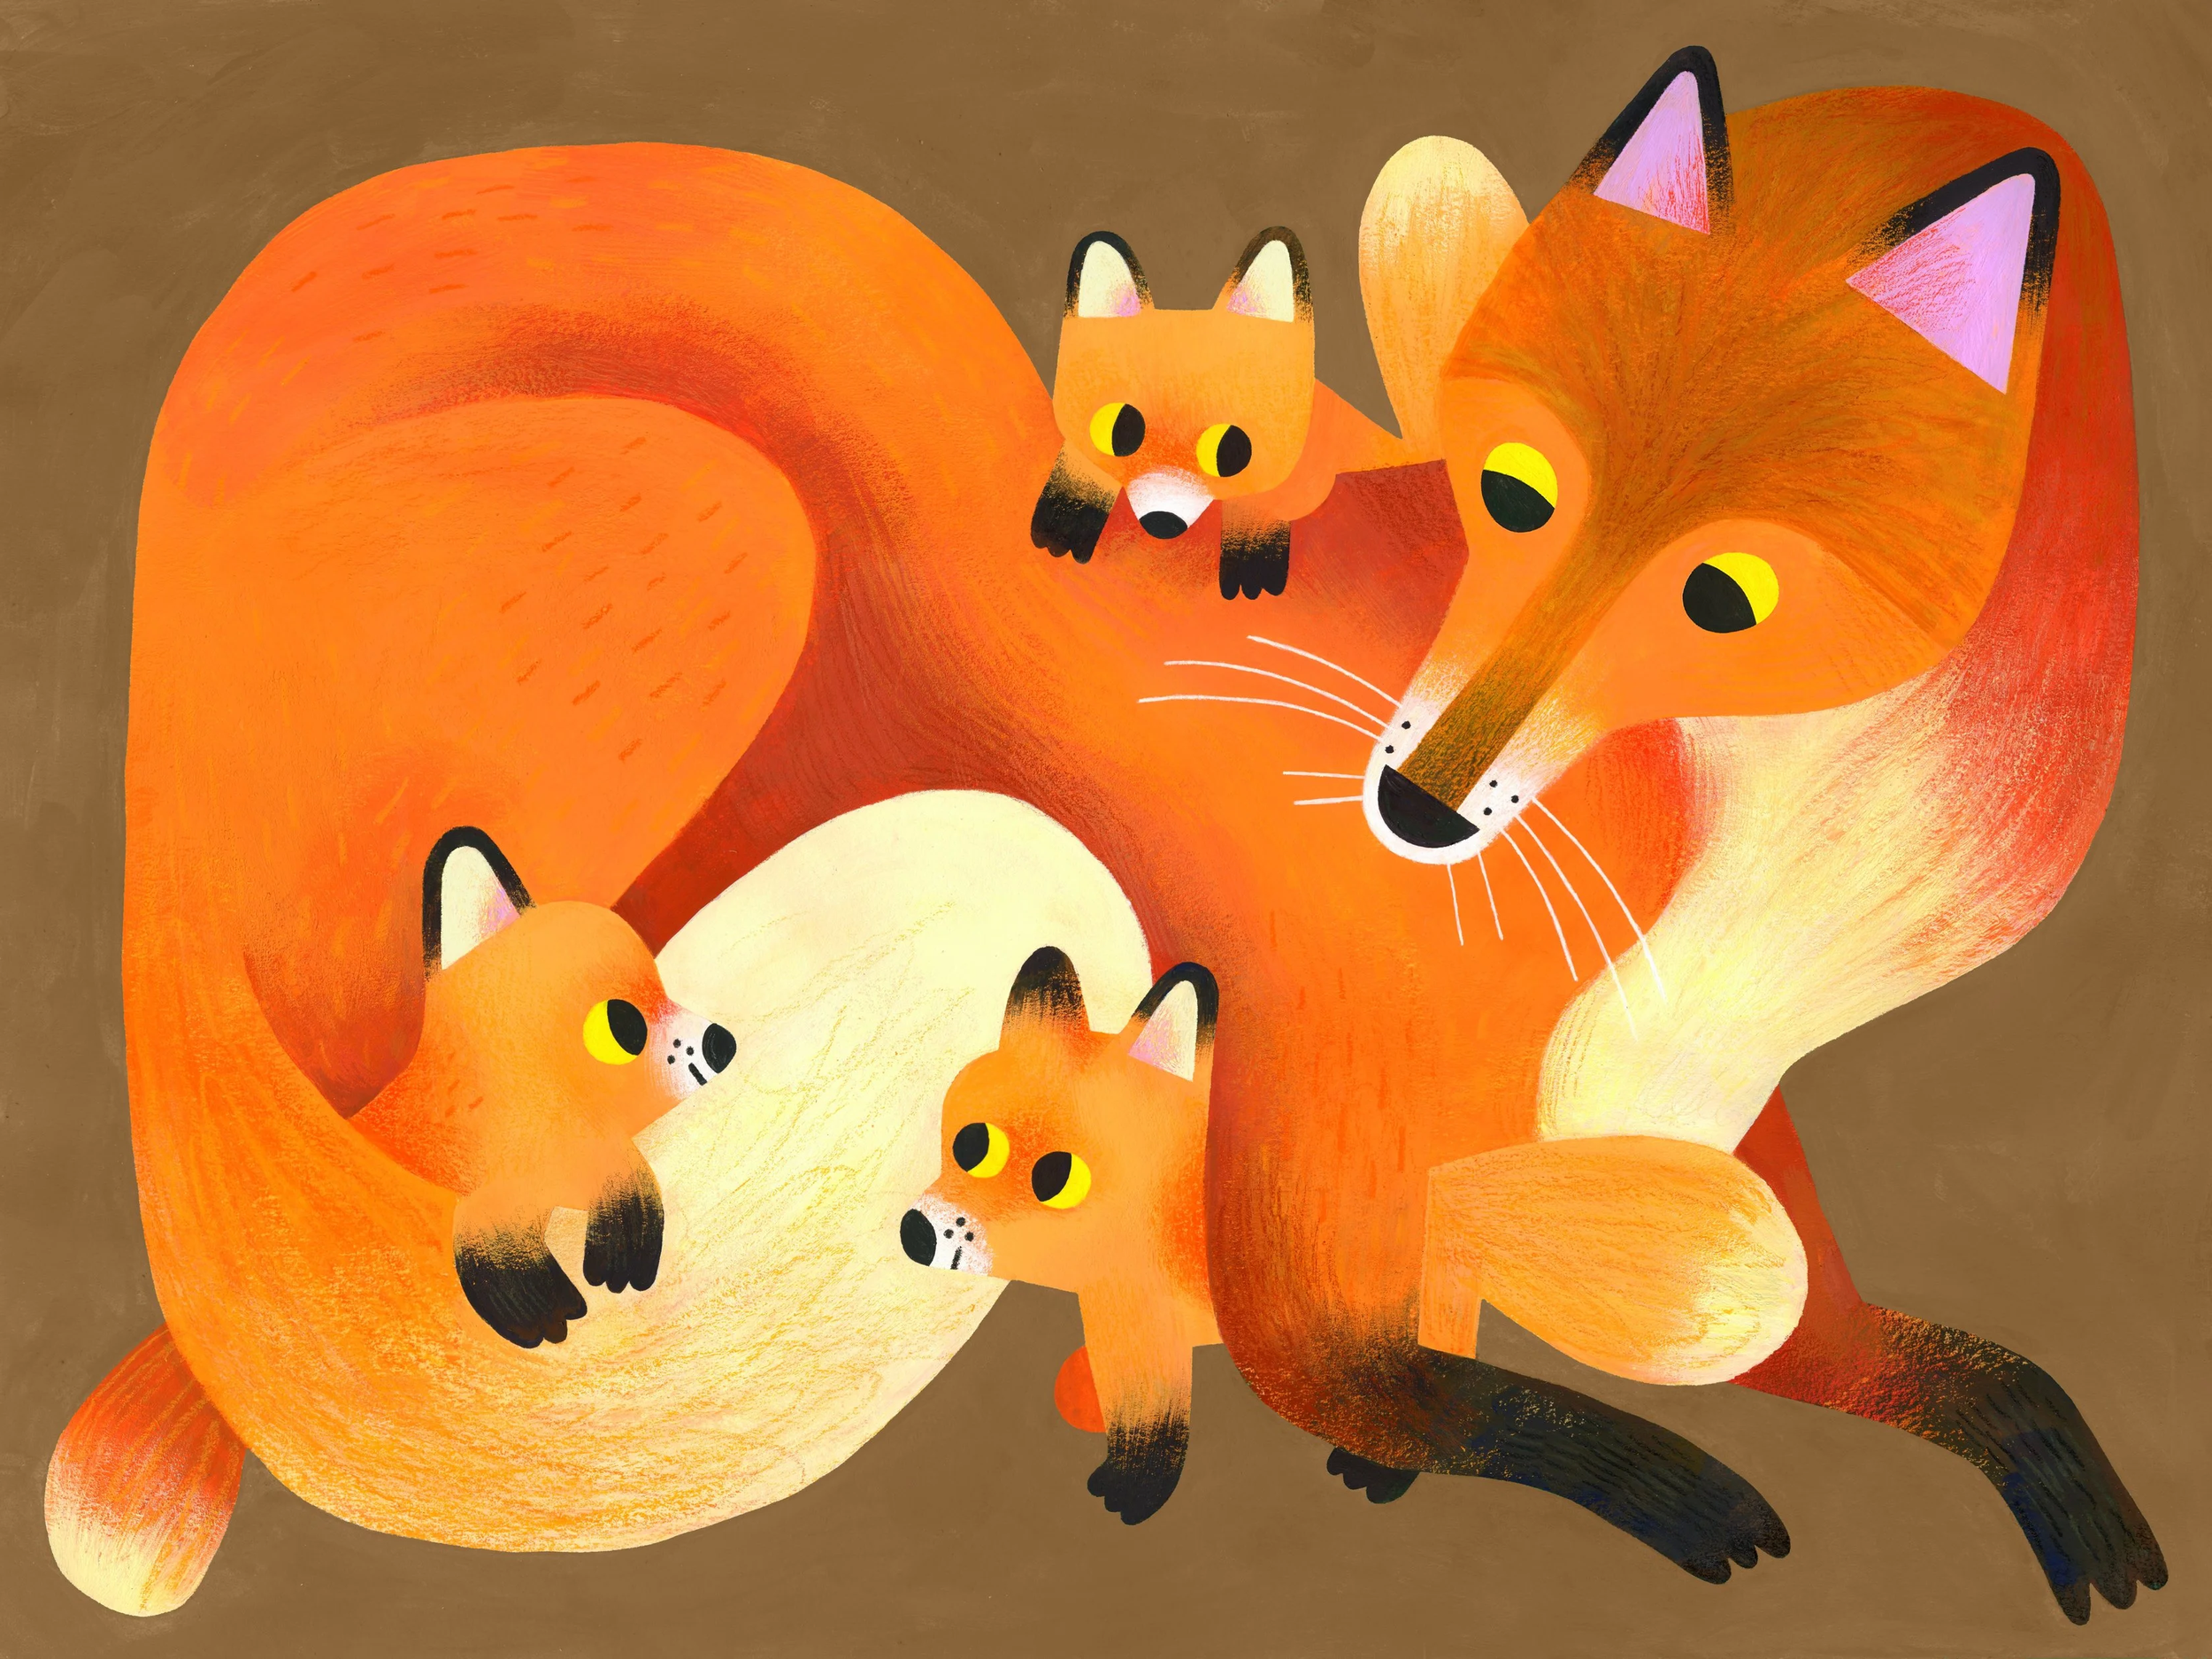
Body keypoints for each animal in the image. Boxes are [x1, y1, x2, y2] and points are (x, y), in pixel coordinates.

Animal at [1031, 138, 1525, 598]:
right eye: (1120, 430)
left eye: (1231, 450)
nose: (1162, 523)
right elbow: (1080, 461)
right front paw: (1068, 514)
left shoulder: (1295, 481)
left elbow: (1262, 506)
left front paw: (1252, 558)